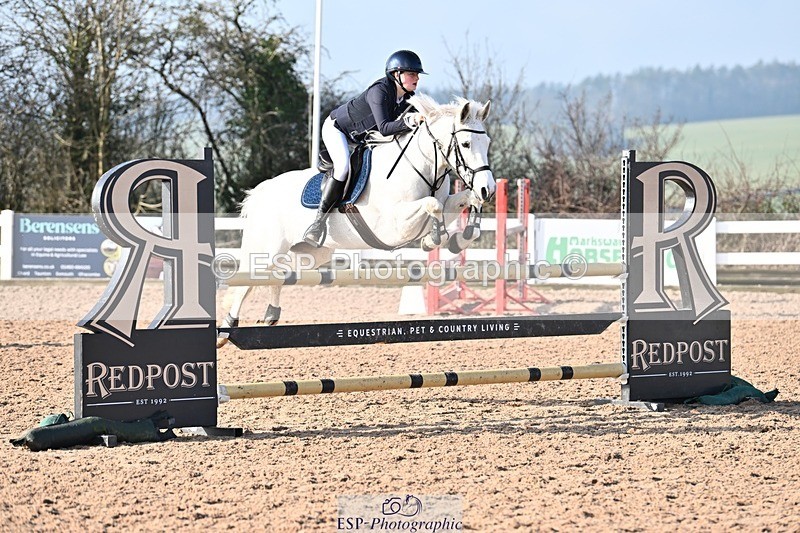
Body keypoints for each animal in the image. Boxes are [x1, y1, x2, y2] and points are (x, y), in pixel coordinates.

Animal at [217, 93, 495, 347]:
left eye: (487, 142)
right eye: (466, 143)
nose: (488, 189)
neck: (422, 166)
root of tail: (260, 192)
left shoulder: (443, 204)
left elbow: (461, 201)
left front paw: (459, 237)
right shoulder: (392, 225)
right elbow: (432, 205)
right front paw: (435, 238)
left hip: (312, 253)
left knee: (280, 273)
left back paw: (271, 313)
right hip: (269, 248)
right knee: (248, 282)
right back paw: (226, 329)